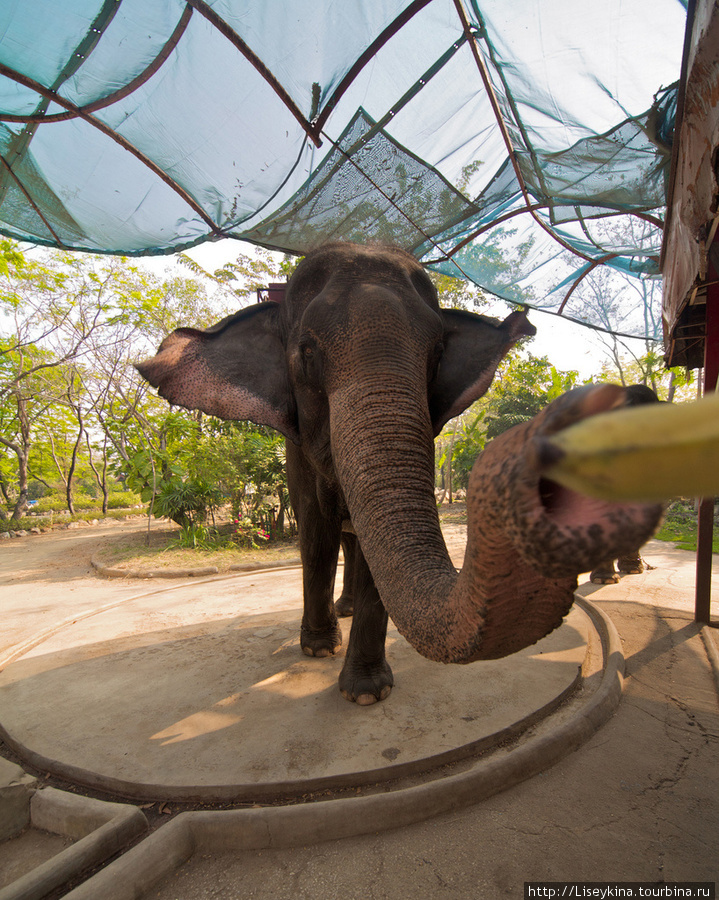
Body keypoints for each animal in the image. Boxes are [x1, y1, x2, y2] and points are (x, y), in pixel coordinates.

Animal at [136, 243, 664, 708]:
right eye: (306, 352)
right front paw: (318, 649)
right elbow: (316, 535)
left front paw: (367, 692)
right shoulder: (297, 453)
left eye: (436, 352)